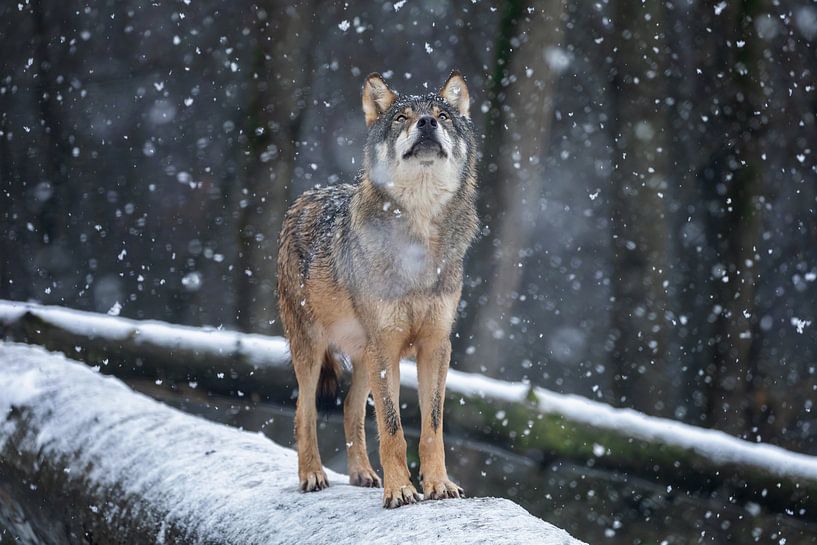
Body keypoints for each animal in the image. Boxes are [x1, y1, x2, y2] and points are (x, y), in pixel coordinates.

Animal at [277, 71, 477, 508]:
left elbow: (432, 427)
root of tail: (304, 198)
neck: (418, 239)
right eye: (402, 116)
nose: (427, 123)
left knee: (351, 409)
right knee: (303, 409)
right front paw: (400, 490)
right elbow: (392, 426)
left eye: (442, 115)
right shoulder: (386, 344)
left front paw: (439, 485)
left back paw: (363, 474)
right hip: (314, 347)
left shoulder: (435, 344)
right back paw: (313, 475)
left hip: (364, 355)